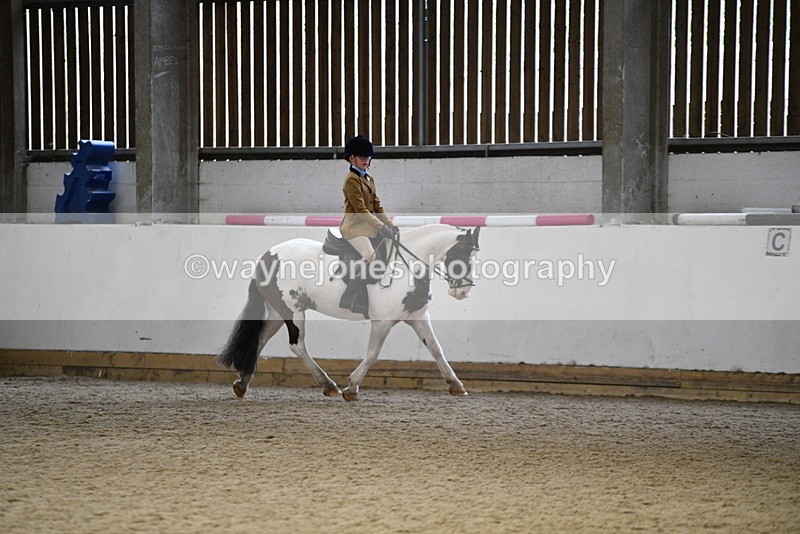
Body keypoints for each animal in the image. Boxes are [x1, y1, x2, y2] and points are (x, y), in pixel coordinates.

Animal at [217, 224, 481, 401]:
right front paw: (352, 387)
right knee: (298, 346)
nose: (463, 292)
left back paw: (243, 383)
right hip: (293, 312)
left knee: (260, 340)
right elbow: (372, 354)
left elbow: (436, 349)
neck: (407, 267)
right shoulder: (382, 322)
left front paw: (456, 384)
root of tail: (267, 256)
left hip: (277, 311)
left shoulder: (417, 317)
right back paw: (328, 385)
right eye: (462, 254)